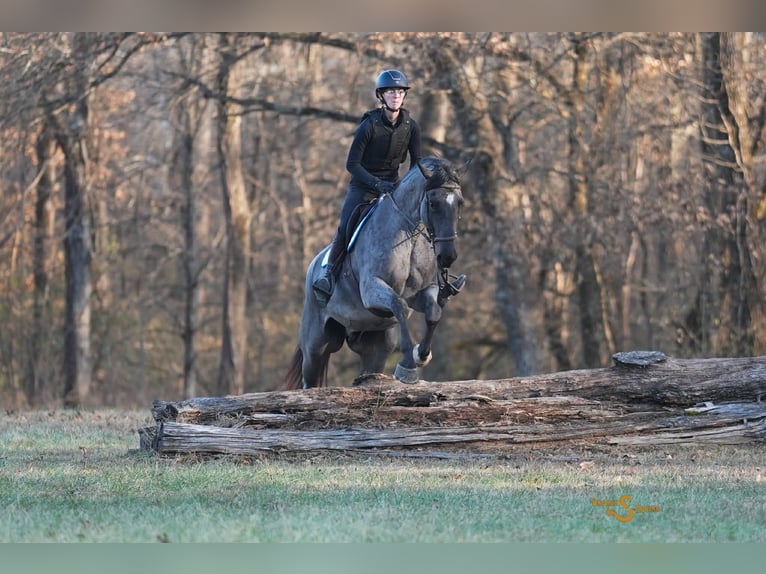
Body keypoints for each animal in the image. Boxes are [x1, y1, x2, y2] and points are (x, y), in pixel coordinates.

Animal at [283, 156, 465, 389]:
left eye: (460, 203)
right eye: (433, 203)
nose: (448, 257)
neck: (410, 236)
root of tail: (312, 267)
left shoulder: (423, 292)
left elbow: (433, 312)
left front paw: (421, 355)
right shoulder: (372, 290)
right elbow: (399, 305)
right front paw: (408, 366)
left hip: (375, 348)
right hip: (316, 344)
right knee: (310, 379)